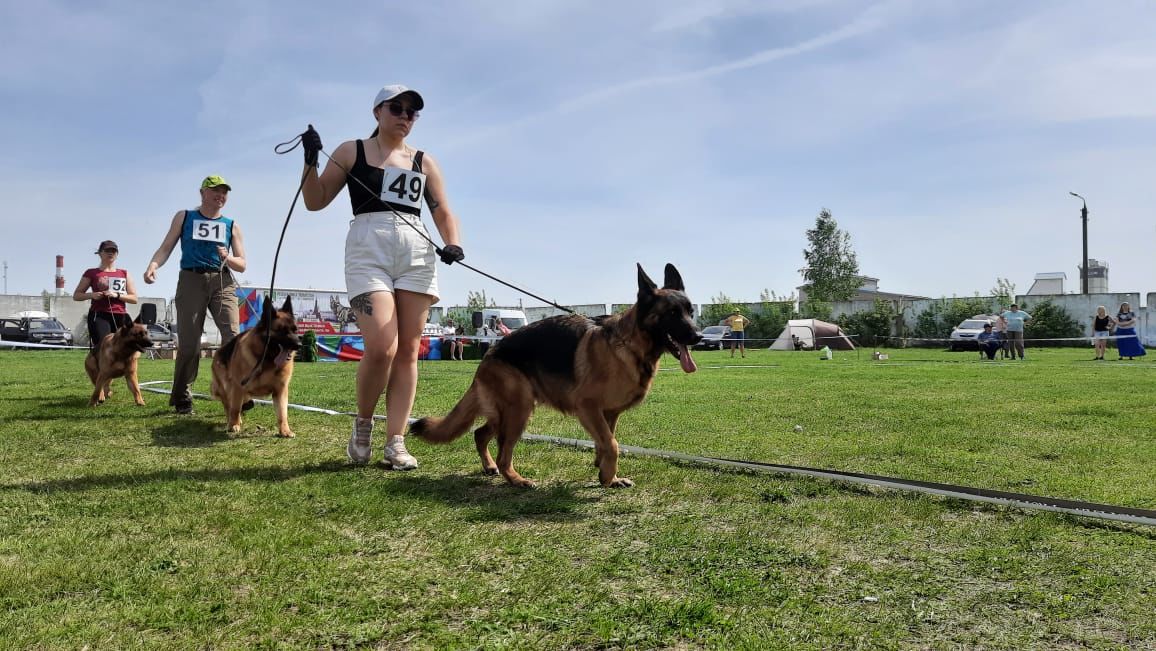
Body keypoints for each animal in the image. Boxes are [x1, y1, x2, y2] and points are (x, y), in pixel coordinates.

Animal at [211, 296, 302, 437]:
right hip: (226, 387)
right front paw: (233, 425)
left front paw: (285, 431)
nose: (299, 345)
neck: (266, 361)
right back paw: (232, 421)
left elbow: (282, 413)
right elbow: (235, 408)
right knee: (228, 405)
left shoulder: (280, 391)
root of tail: (218, 350)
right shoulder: (237, 387)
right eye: (281, 331)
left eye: (295, 330)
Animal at [411, 262, 698, 485]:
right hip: (519, 410)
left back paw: (490, 467)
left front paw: (607, 473)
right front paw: (608, 476)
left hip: (506, 412)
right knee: (504, 451)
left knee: (480, 434)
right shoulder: (588, 407)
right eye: (672, 313)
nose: (698, 336)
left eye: (690, 312)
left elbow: (607, 441)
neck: (629, 344)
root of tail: (491, 353)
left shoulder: (608, 413)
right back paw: (515, 479)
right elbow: (613, 444)